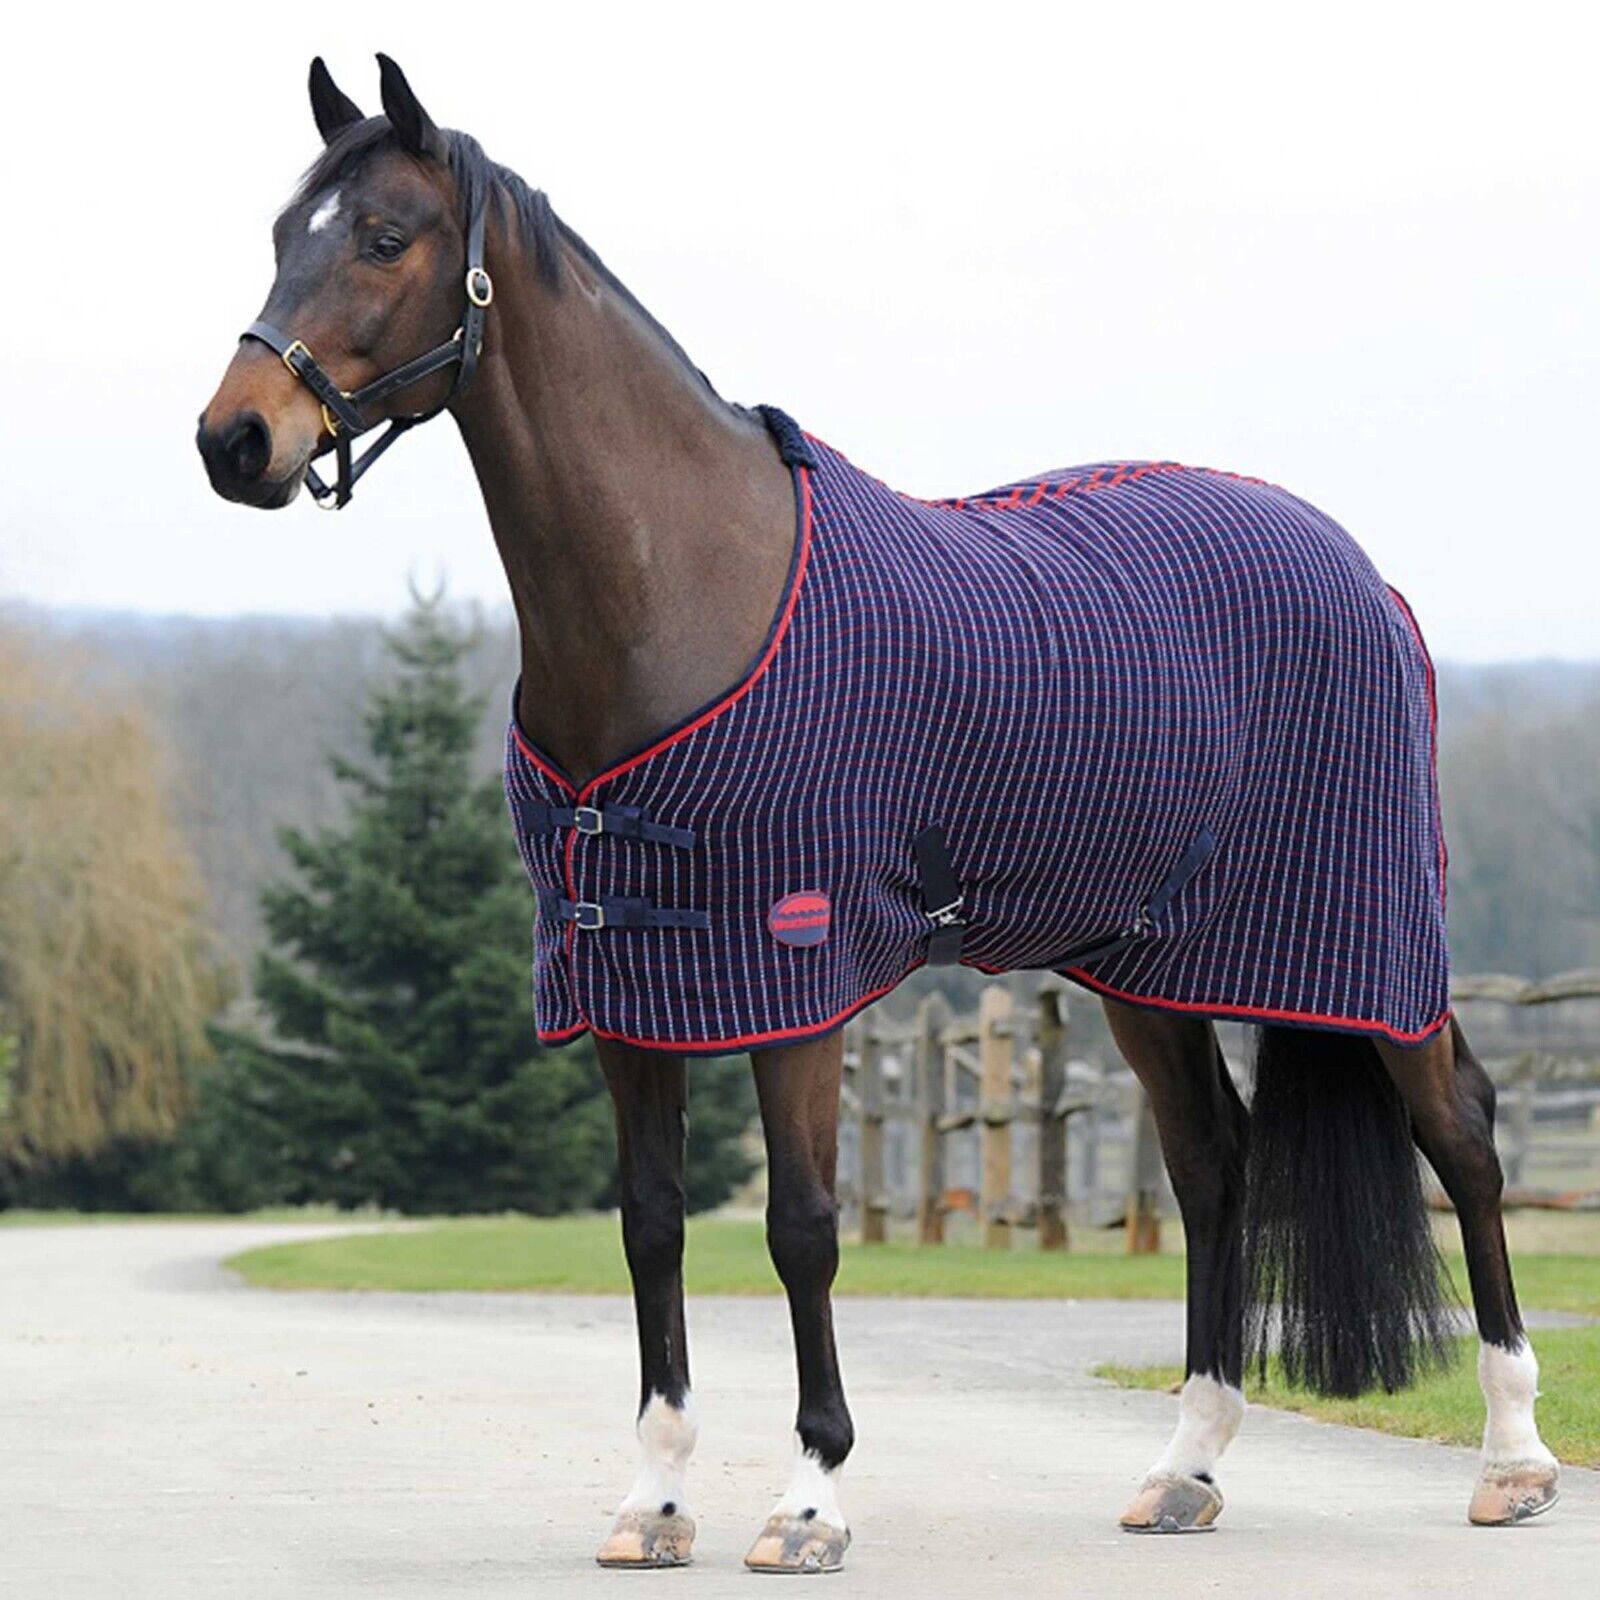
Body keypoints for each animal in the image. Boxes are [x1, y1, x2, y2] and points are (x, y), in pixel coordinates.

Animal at [198, 54, 1561, 1571]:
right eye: (284, 233)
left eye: (384, 237)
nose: (235, 440)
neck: (686, 587)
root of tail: (1365, 575)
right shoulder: (626, 980)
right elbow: (652, 1226)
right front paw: (653, 1498)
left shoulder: (800, 973)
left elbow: (801, 1225)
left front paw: (807, 1498)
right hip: (1149, 966)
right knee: (1213, 1164)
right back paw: (1186, 1466)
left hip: (1369, 937)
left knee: (1465, 1135)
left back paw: (1513, 1459)